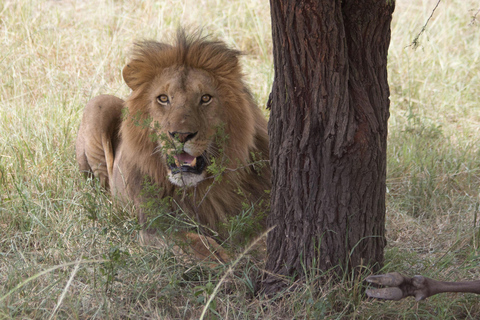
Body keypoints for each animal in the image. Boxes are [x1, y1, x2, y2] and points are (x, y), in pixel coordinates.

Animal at [75, 31, 270, 262]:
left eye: (205, 98)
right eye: (163, 98)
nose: (181, 135)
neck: (199, 189)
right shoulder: (155, 227)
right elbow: (202, 247)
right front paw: (232, 263)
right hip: (98, 105)